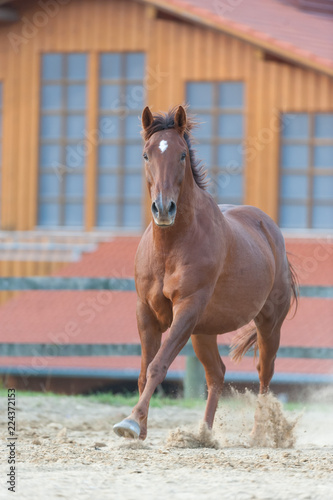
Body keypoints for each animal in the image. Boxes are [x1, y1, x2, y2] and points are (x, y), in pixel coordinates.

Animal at [113, 104, 296, 438]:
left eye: (182, 154)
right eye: (146, 154)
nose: (163, 208)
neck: (171, 246)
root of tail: (270, 229)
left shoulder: (186, 308)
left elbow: (158, 365)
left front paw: (131, 422)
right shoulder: (146, 311)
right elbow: (144, 371)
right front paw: (138, 429)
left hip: (268, 324)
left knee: (264, 373)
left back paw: (261, 433)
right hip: (204, 331)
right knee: (217, 374)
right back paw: (203, 435)